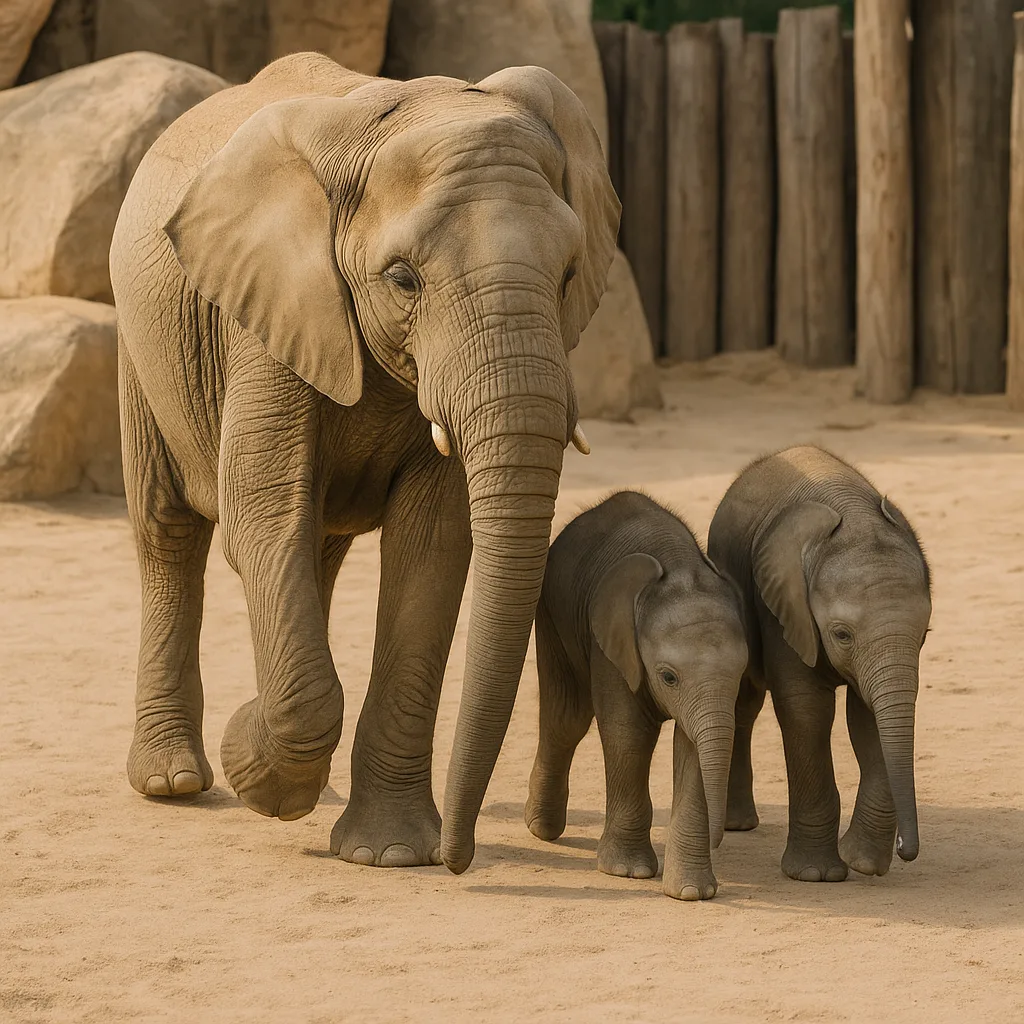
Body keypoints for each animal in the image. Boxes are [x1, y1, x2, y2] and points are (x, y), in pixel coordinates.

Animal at [108, 51, 619, 875]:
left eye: (570, 273)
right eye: (403, 279)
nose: (458, 859)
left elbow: (433, 542)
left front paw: (388, 853)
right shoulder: (267, 314)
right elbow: (263, 513)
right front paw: (253, 763)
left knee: (317, 547)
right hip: (140, 341)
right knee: (169, 531)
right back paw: (174, 781)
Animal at [524, 492, 748, 900]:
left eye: (742, 672)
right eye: (668, 676)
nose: (720, 838)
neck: (681, 568)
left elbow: (692, 746)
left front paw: (691, 893)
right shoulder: (613, 645)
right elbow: (627, 733)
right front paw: (628, 872)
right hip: (551, 613)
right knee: (566, 719)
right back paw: (541, 830)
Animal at [707, 446, 932, 882]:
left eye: (925, 635)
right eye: (842, 634)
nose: (906, 851)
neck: (856, 517)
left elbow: (868, 718)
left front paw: (863, 864)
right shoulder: (781, 605)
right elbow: (807, 710)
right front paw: (816, 875)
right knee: (744, 702)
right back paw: (737, 826)